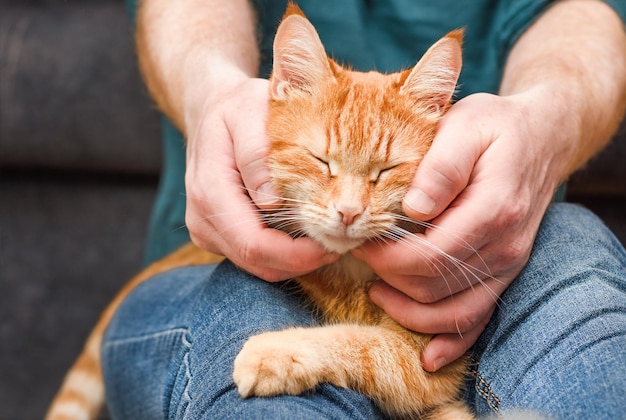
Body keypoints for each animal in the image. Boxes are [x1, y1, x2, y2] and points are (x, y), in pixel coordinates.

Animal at [46, 4, 470, 420]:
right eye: (321, 160)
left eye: (386, 170)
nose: (349, 212)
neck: (349, 274)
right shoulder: (420, 367)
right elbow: (366, 345)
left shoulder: (424, 360)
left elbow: (364, 345)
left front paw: (276, 352)